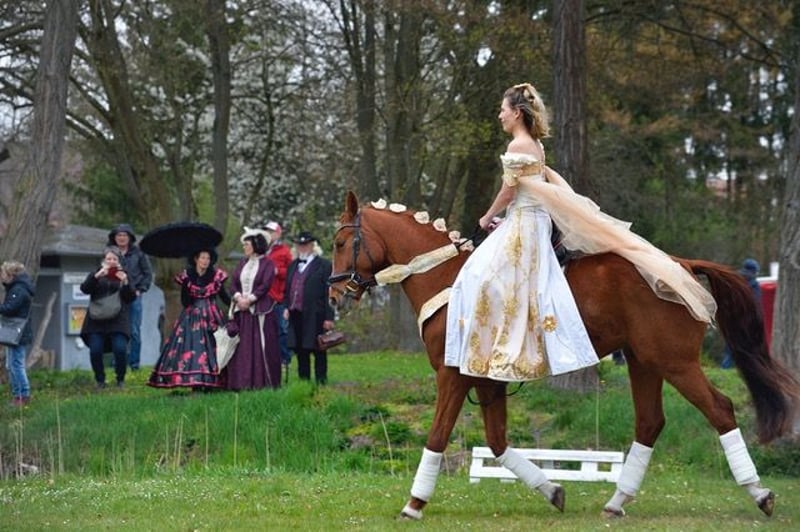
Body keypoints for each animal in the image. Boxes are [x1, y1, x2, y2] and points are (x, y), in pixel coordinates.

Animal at [328, 191, 799, 519]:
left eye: (339, 242)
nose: (334, 295)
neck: (444, 276)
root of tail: (681, 264)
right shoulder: (486, 380)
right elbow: (497, 443)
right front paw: (553, 490)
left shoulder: (452, 375)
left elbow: (438, 436)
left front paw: (413, 504)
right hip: (643, 360)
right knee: (650, 422)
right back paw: (616, 501)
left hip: (675, 361)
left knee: (719, 409)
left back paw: (760, 494)